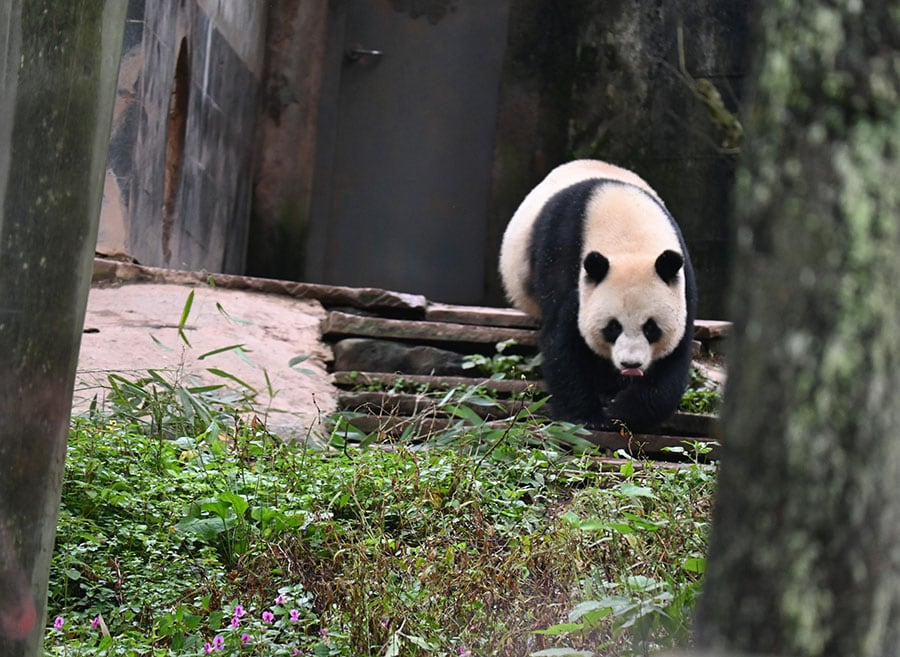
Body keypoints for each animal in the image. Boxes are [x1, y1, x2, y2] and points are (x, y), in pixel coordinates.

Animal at [500, 160, 696, 434]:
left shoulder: (681, 282)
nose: (631, 364)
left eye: (651, 328)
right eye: (612, 327)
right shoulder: (564, 257)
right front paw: (587, 416)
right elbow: (563, 342)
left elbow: (672, 361)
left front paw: (623, 412)